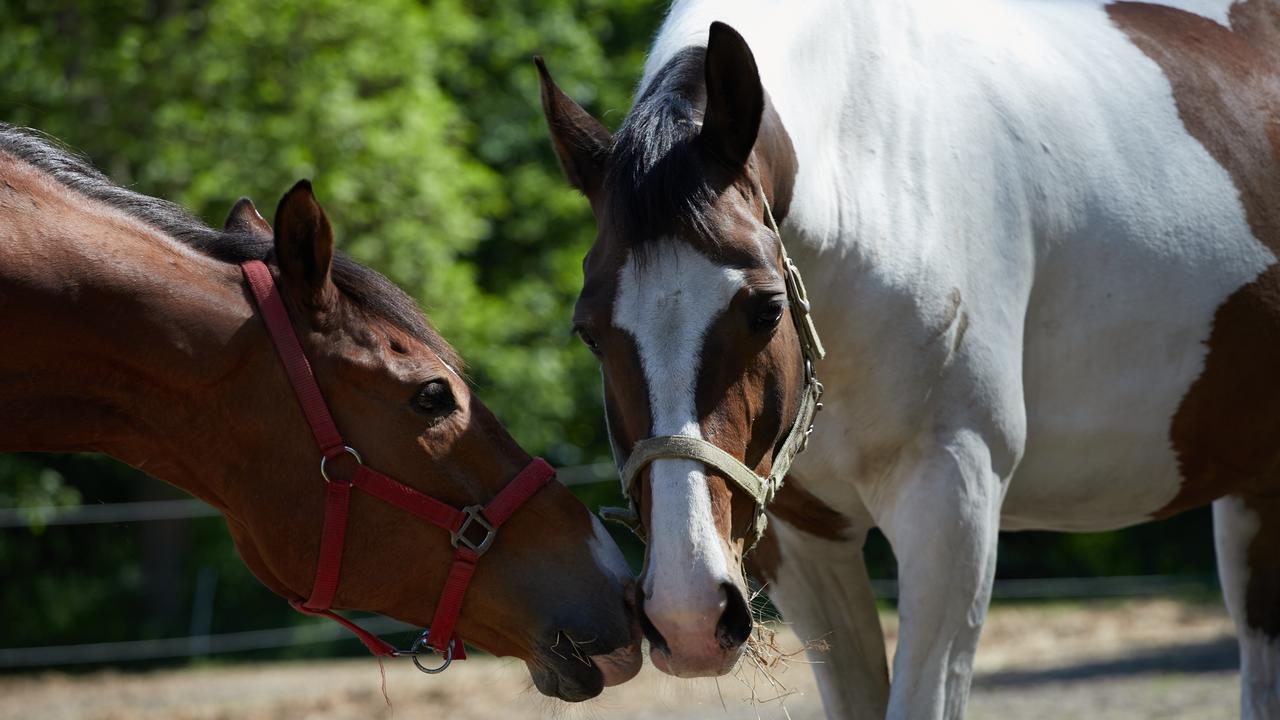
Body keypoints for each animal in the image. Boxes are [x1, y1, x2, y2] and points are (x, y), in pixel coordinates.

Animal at [537, 1, 1280, 712]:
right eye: (588, 331)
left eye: (767, 308)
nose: (687, 616)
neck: (876, 172)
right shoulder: (799, 534)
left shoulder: (951, 503)